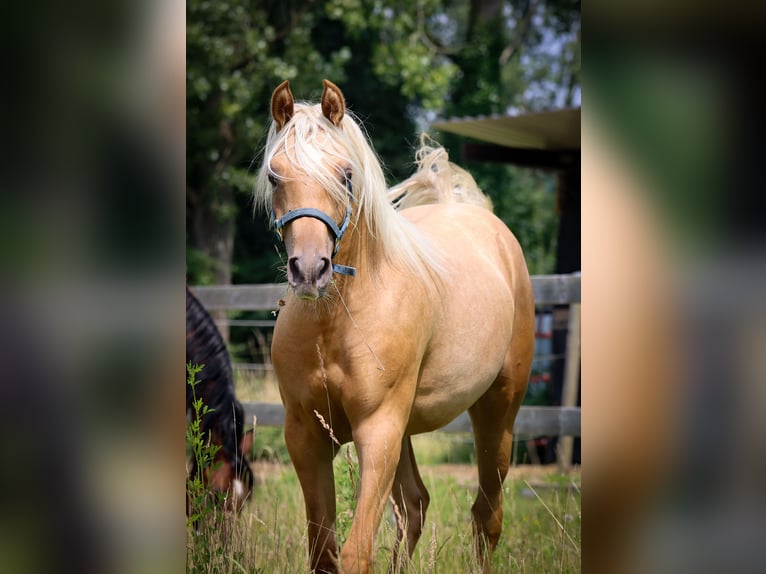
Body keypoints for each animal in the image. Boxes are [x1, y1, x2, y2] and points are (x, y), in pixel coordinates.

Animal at [256, 82, 536, 574]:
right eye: (275, 176)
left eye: (346, 174)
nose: (309, 270)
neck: (337, 322)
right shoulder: (306, 436)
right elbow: (323, 551)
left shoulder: (378, 430)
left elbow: (354, 553)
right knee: (414, 505)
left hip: (497, 411)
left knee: (486, 513)